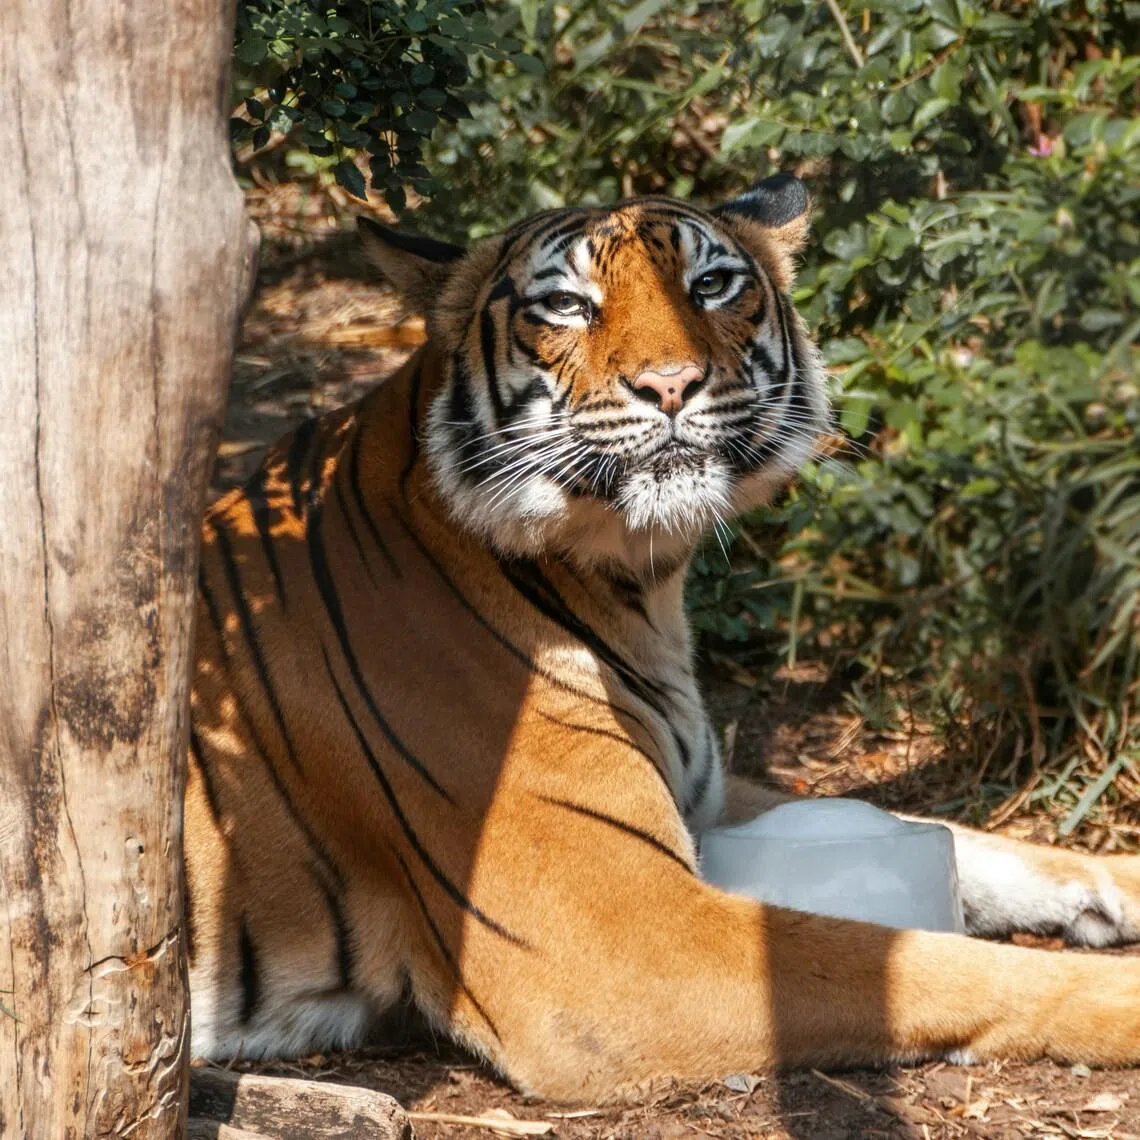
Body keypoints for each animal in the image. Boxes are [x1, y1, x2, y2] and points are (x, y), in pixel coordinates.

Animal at [187, 175, 1140, 1102]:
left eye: (710, 285)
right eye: (565, 305)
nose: (672, 384)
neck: (640, 587)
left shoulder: (704, 801)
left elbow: (974, 844)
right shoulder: (619, 941)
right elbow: (912, 958)